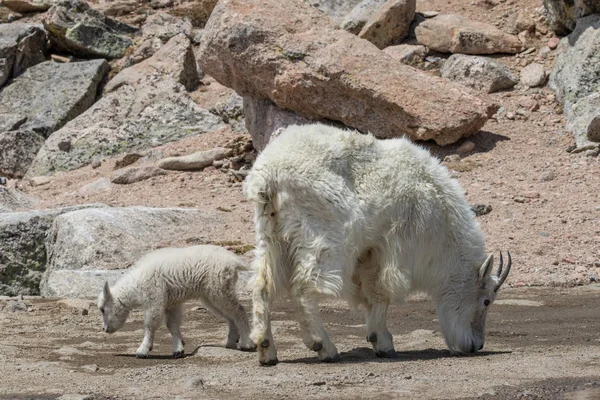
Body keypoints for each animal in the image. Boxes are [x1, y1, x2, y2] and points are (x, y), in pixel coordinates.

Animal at [98, 245, 255, 358]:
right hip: (211, 296)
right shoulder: (171, 304)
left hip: (219, 289)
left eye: (102, 309)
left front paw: (143, 350)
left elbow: (150, 325)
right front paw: (178, 349)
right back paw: (230, 342)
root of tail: (234, 261)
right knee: (230, 316)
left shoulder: (155, 300)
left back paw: (246, 343)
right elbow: (172, 325)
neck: (136, 286)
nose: (105, 329)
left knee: (239, 310)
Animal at [244, 124, 510, 366]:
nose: (476, 345)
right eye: (486, 301)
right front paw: (384, 344)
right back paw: (324, 347)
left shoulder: (369, 251)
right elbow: (382, 293)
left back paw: (266, 350)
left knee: (262, 285)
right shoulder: (395, 246)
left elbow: (370, 293)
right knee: (303, 286)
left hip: (271, 236)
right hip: (324, 237)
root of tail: (269, 176)